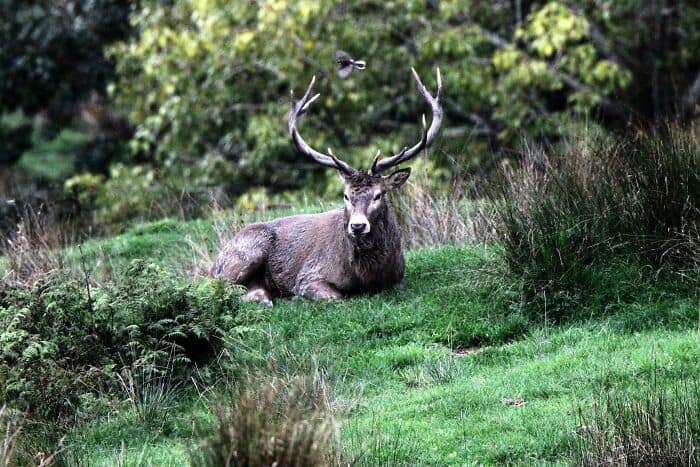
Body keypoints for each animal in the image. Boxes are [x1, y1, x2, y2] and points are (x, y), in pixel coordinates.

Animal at [210, 68, 443, 306]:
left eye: (378, 195)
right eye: (345, 196)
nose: (357, 226)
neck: (366, 277)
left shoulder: (399, 278)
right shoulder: (309, 275)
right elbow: (334, 297)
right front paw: (298, 297)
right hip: (247, 250)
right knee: (219, 288)